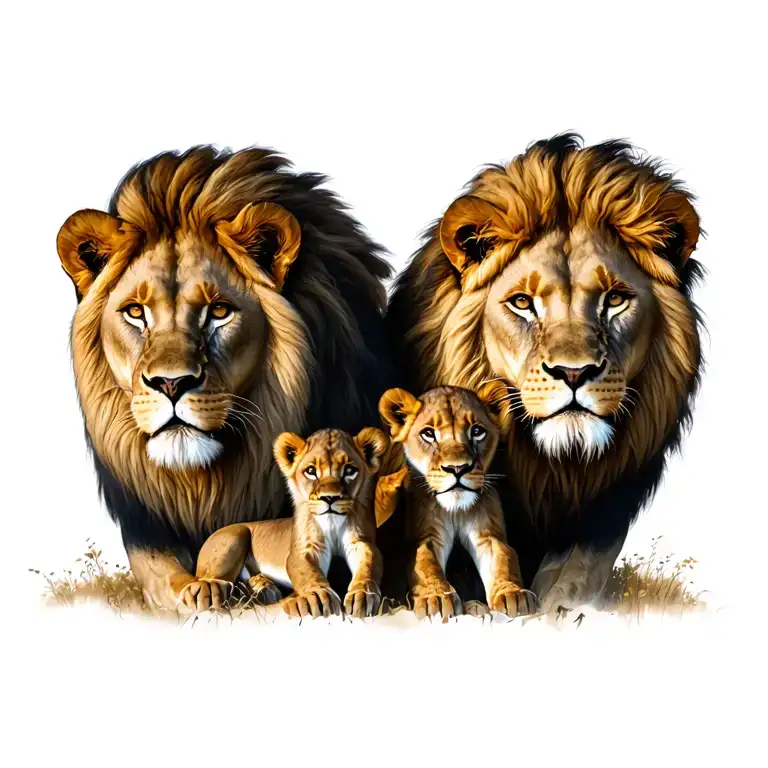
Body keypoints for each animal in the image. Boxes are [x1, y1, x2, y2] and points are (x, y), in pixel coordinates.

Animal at [188, 427, 388, 618]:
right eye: (311, 471)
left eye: (349, 470)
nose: (330, 498)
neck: (332, 523)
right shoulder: (305, 547)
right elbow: (307, 571)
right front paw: (317, 596)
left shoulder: (361, 542)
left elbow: (368, 564)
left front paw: (363, 594)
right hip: (235, 535)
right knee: (211, 578)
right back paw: (212, 589)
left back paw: (264, 588)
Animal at [379, 384, 538, 620]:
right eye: (428, 434)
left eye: (477, 431)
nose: (458, 468)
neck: (456, 510)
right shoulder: (428, 533)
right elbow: (426, 561)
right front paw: (435, 598)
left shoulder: (487, 533)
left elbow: (503, 557)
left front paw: (513, 593)